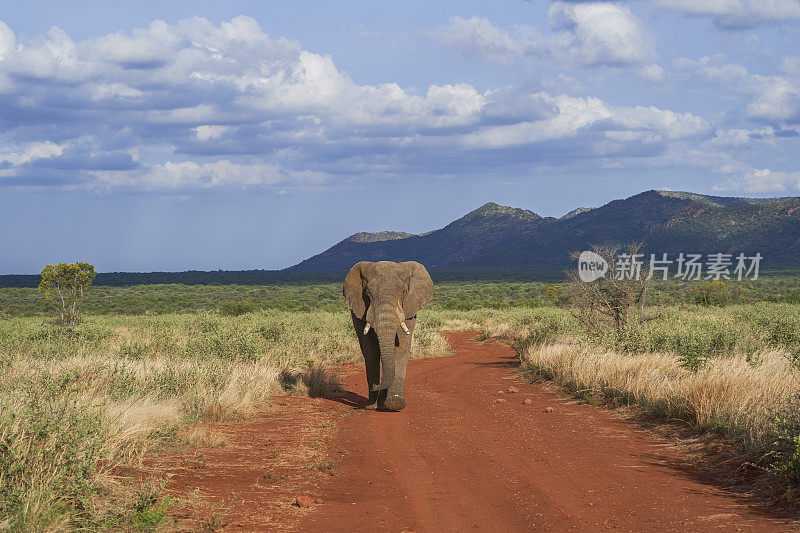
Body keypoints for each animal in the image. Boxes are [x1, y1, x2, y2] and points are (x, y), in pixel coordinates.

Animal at [342, 260, 434, 410]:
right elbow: (371, 351)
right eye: (368, 293)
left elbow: (402, 347)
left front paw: (395, 403)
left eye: (404, 292)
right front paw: (372, 406)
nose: (375, 385)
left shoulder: (409, 310)